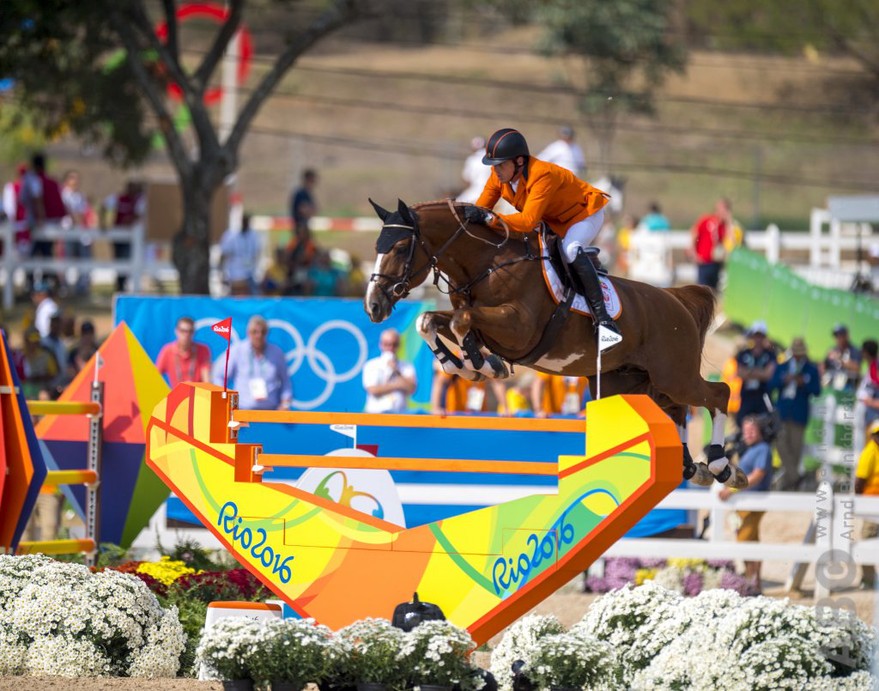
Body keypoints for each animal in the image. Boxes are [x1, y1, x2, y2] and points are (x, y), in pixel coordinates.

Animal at [360, 197, 744, 490]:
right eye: (376, 248)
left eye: (398, 248)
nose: (373, 306)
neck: (487, 264)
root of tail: (676, 298)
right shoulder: (478, 318)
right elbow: (431, 321)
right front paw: (467, 366)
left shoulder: (517, 327)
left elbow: (461, 321)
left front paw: (481, 365)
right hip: (628, 383)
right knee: (677, 409)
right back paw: (694, 468)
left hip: (673, 375)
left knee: (718, 394)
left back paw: (721, 465)